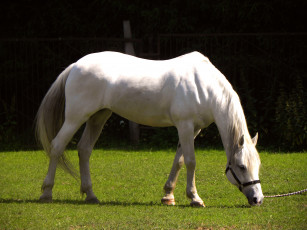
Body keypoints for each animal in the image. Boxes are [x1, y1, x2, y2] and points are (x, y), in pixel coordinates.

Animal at [35, 51, 264, 206]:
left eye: (258, 165)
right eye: (241, 166)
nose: (258, 199)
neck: (204, 86)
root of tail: (76, 65)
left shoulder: (193, 130)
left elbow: (179, 161)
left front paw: (168, 195)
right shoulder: (185, 126)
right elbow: (191, 161)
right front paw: (195, 198)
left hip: (98, 117)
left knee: (84, 149)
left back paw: (90, 195)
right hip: (75, 117)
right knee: (57, 146)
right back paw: (46, 193)